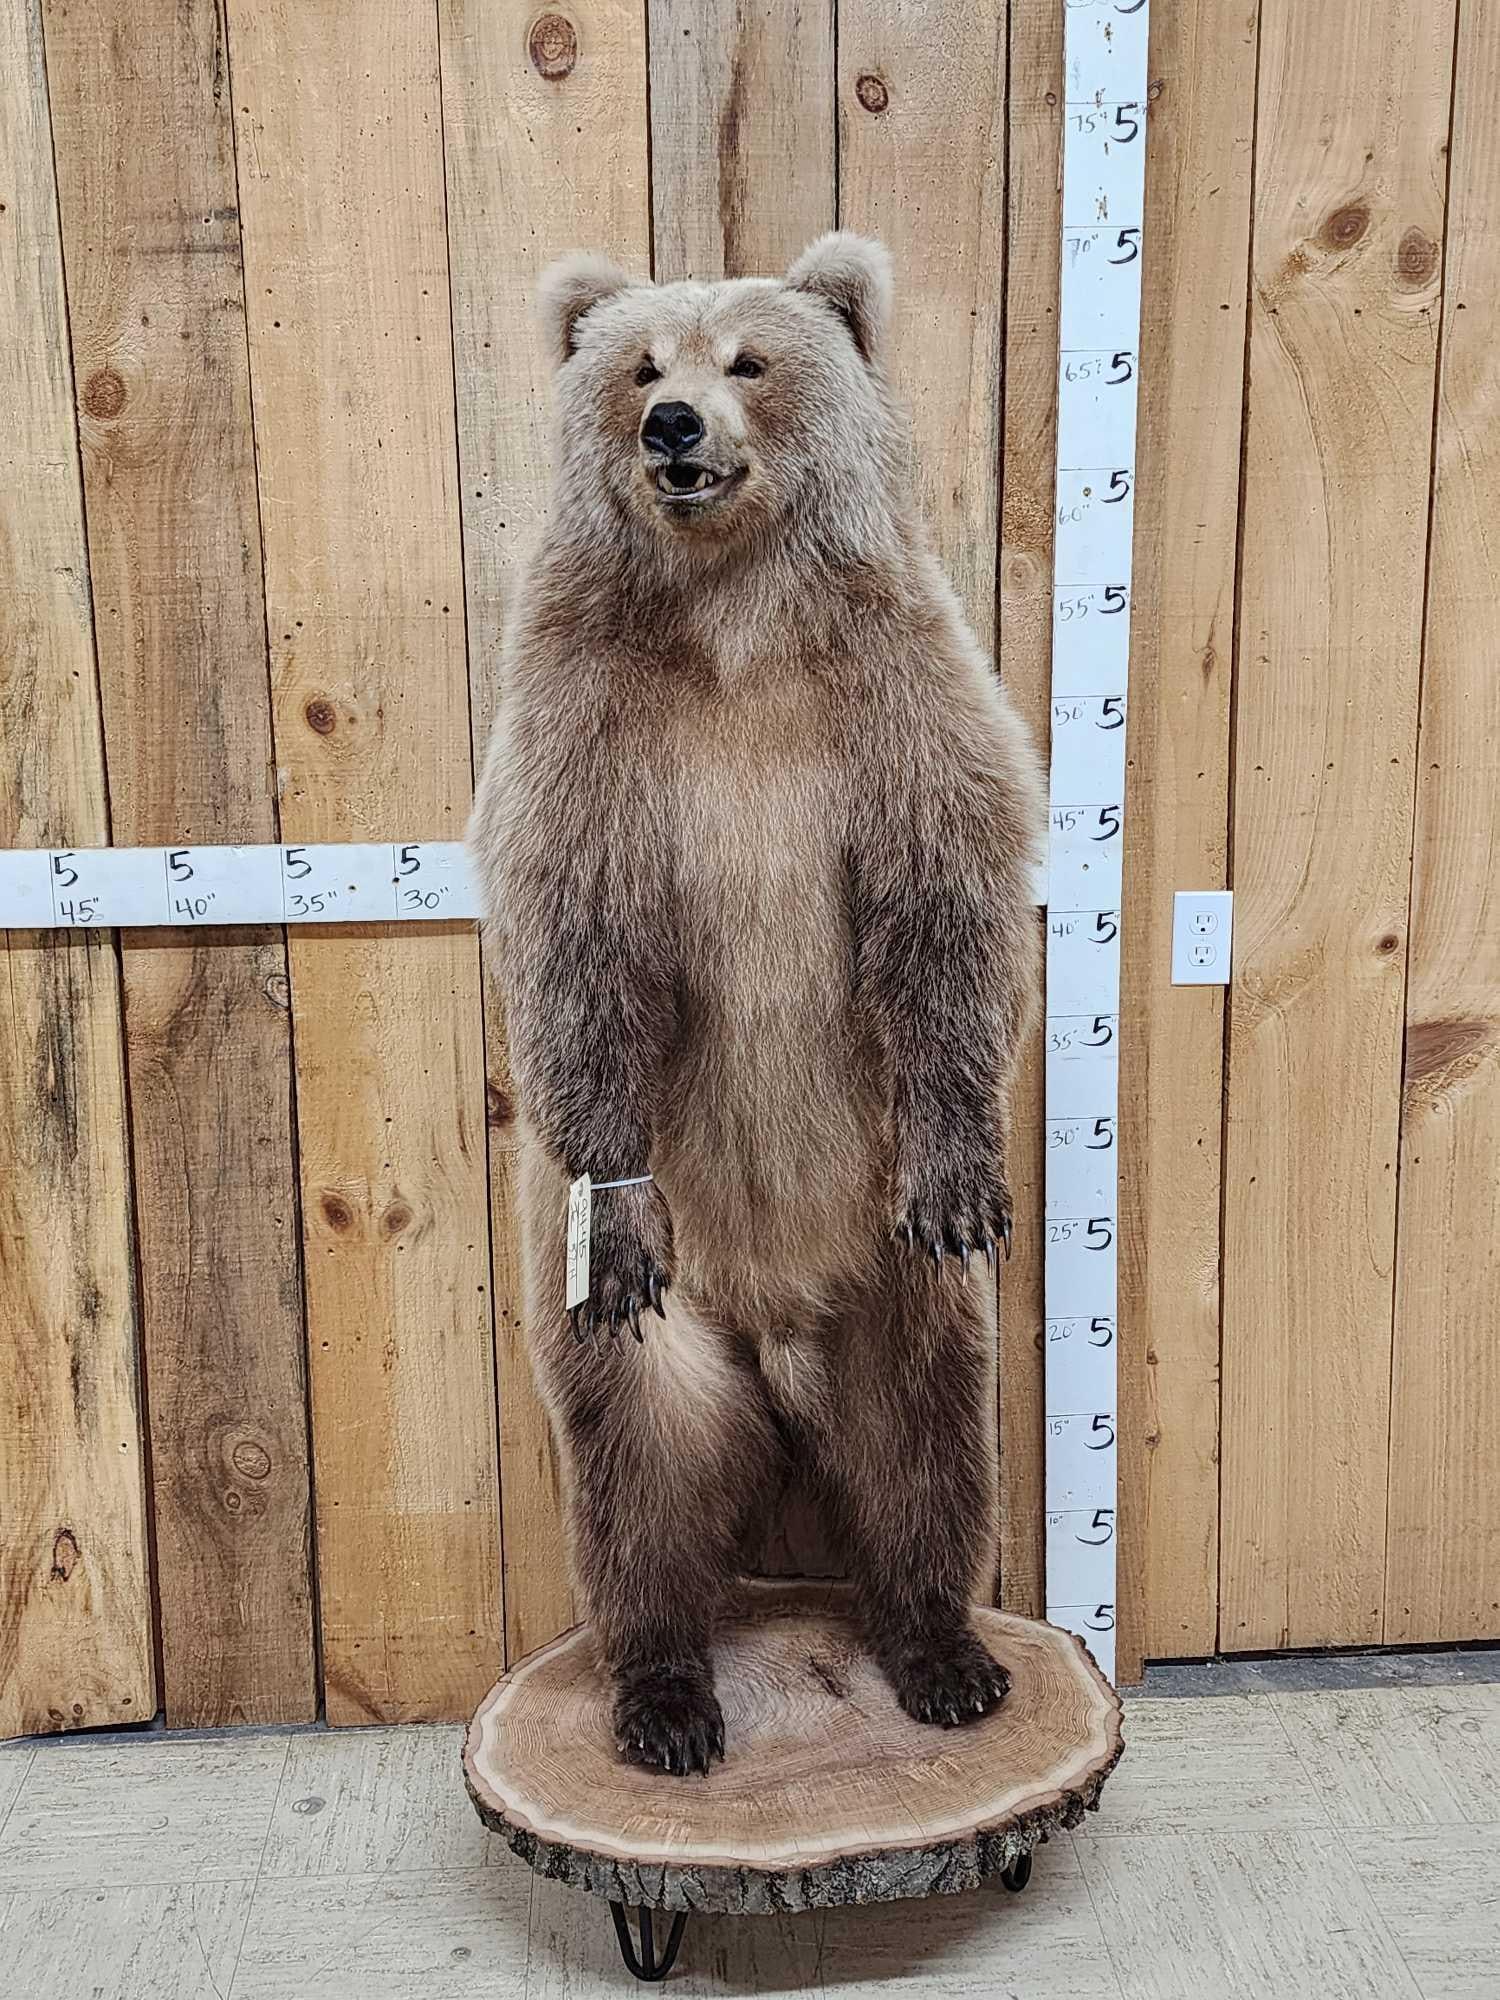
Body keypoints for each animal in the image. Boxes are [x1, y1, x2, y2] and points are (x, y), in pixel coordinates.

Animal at [468, 232, 1043, 1778]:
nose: (675, 427)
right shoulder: (588, 730)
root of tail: (782, 1319)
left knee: (924, 1441)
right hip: (657, 1303)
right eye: (637, 365)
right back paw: (664, 1695)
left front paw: (967, 1159)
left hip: (891, 1265)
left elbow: (946, 908)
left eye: (750, 360)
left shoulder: (897, 701)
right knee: (640, 1471)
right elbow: (578, 949)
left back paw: (945, 1649)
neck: (731, 616)